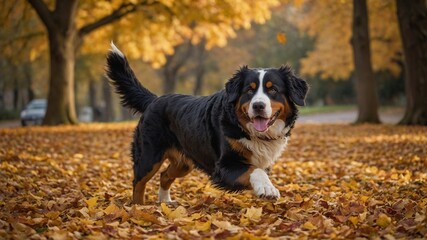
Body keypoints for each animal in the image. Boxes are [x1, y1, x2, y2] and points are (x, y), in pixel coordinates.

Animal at [106, 43, 308, 204]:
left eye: (272, 89)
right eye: (249, 91)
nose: (258, 106)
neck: (249, 130)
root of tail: (155, 99)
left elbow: (258, 170)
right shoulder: (225, 166)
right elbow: (255, 171)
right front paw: (267, 188)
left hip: (183, 163)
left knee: (165, 176)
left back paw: (165, 203)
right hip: (149, 155)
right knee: (138, 182)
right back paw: (138, 208)